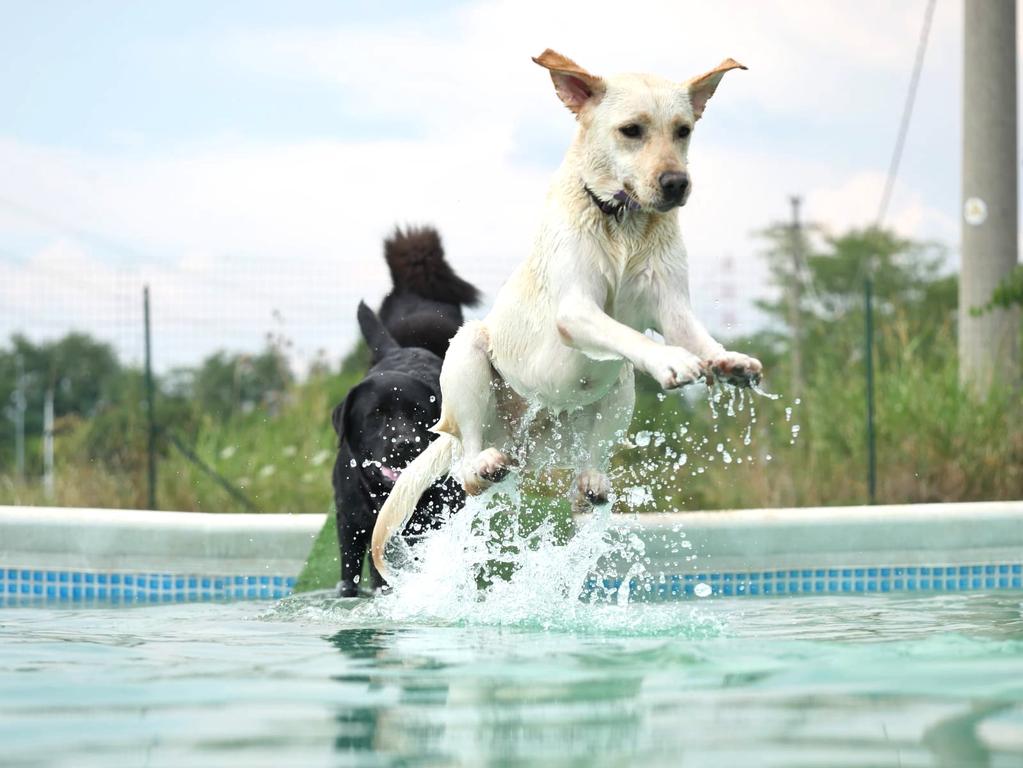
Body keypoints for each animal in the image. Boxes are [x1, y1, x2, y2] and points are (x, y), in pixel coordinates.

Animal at [372, 51, 765, 580]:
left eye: (683, 131)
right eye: (632, 130)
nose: (676, 183)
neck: (624, 221)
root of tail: (521, 439)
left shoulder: (672, 304)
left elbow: (694, 335)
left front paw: (726, 361)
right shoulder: (576, 308)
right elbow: (630, 334)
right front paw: (672, 361)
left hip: (615, 392)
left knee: (592, 455)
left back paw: (590, 485)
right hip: (469, 356)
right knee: (466, 462)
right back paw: (481, 465)